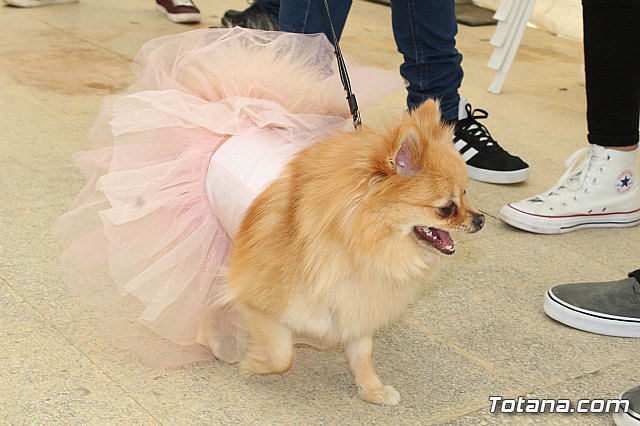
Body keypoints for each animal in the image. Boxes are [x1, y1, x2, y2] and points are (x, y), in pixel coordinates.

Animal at [228, 100, 482, 406]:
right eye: (446, 208)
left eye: (466, 192)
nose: (481, 219)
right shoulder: (255, 300)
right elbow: (282, 355)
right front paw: (252, 363)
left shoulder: (357, 299)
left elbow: (362, 353)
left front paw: (372, 389)